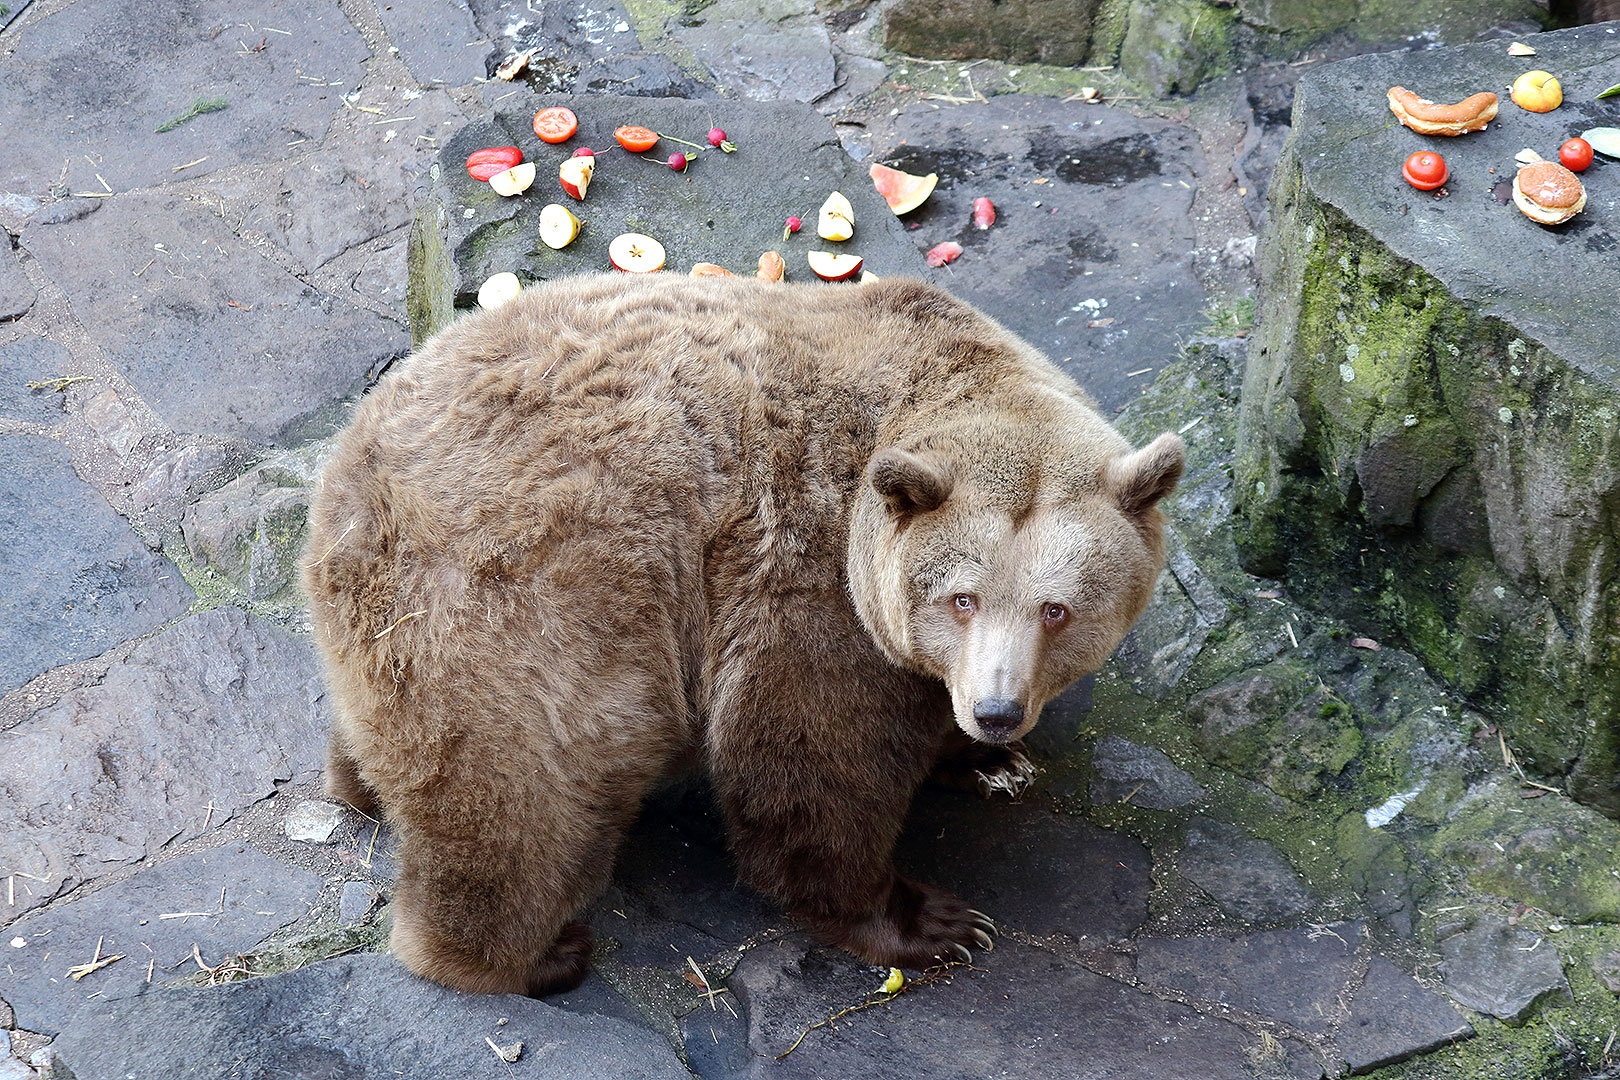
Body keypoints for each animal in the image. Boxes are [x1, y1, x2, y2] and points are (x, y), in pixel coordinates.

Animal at [304, 272, 1185, 997]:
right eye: (961, 598)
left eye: (1056, 609)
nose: (997, 711)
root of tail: (349, 478)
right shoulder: (807, 575)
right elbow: (813, 763)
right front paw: (931, 921)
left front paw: (990, 763)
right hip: (530, 606)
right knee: (528, 795)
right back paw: (529, 955)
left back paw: (356, 783)